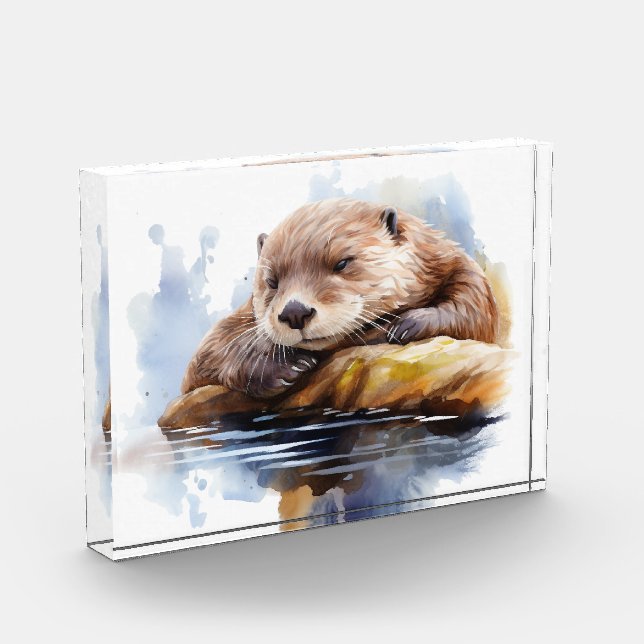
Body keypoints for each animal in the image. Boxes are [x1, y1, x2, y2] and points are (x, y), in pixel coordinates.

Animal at [182, 198, 499, 398]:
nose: (295, 312)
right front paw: (286, 368)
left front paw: (408, 324)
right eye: (271, 281)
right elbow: (210, 351)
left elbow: (477, 306)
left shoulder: (447, 260)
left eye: (342, 263)